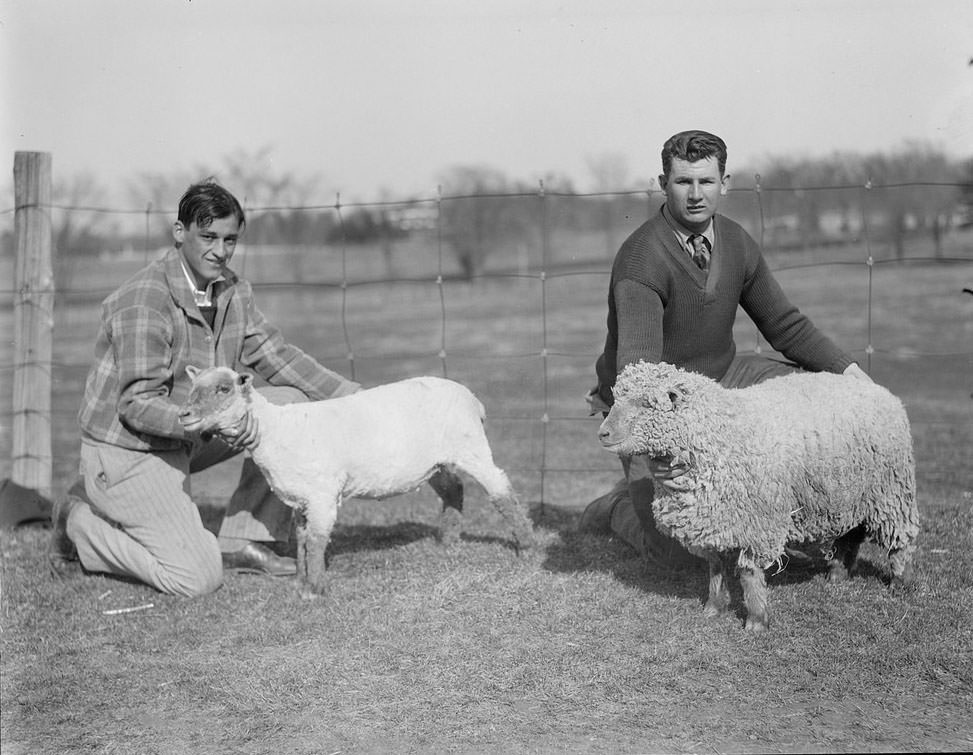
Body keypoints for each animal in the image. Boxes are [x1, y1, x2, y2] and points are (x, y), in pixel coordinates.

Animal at [178, 364, 536, 600]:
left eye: (224, 389)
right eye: (193, 388)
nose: (183, 415)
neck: (277, 429)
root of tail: (470, 397)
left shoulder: (321, 494)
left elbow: (317, 541)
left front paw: (317, 589)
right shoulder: (302, 500)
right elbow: (303, 540)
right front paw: (302, 584)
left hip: (471, 447)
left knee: (502, 492)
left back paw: (527, 547)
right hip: (435, 462)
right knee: (454, 490)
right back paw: (447, 542)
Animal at [596, 364, 916, 636]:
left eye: (646, 403)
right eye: (616, 398)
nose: (603, 433)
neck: (718, 435)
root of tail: (876, 389)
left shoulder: (757, 523)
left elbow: (749, 572)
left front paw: (756, 619)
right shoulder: (713, 519)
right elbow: (715, 565)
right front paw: (714, 606)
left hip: (891, 491)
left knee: (899, 540)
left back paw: (899, 582)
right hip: (851, 493)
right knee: (852, 534)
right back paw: (837, 574)